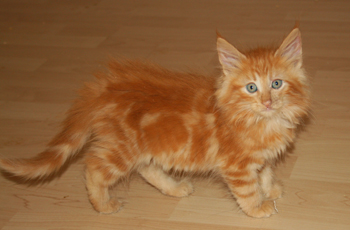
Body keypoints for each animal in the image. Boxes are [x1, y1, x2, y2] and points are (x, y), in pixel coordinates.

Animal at [1, 27, 310, 217]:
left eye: (276, 83)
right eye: (251, 88)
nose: (267, 102)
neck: (262, 121)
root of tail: (105, 88)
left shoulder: (261, 157)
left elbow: (265, 172)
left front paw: (271, 188)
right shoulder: (237, 165)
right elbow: (247, 189)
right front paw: (258, 207)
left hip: (148, 146)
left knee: (146, 169)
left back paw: (175, 188)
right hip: (122, 149)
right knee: (93, 168)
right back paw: (103, 205)